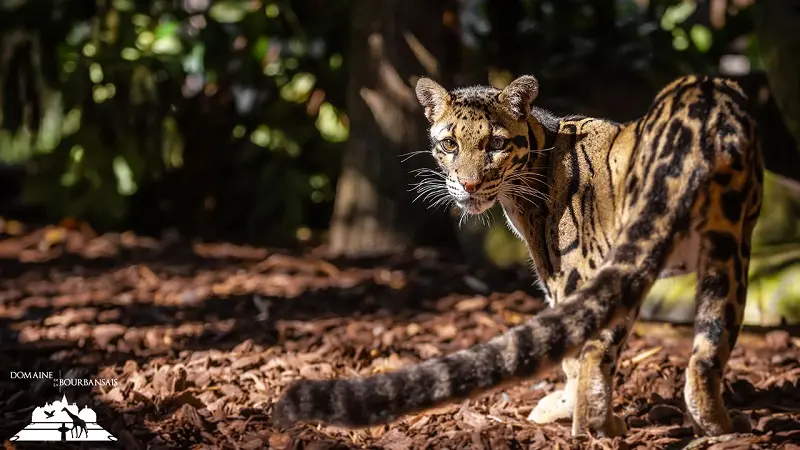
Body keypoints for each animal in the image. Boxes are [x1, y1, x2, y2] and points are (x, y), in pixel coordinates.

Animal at [274, 74, 764, 440]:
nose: (469, 185)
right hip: (727, 248)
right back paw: (721, 427)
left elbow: (570, 354)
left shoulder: (562, 272)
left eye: (494, 144)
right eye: (449, 144)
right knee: (706, 351)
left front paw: (559, 407)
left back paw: (599, 428)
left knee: (596, 355)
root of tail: (701, 117)